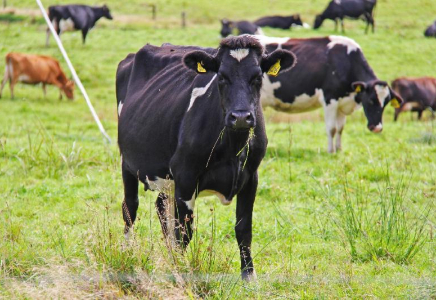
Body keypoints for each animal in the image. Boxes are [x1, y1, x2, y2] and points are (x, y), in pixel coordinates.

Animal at [116, 36, 296, 280]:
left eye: (258, 77)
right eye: (221, 77)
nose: (241, 117)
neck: (233, 148)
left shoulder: (251, 176)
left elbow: (244, 229)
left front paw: (248, 276)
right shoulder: (185, 174)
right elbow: (184, 231)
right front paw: (182, 272)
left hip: (166, 178)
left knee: (161, 208)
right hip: (128, 163)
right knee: (130, 208)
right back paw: (127, 253)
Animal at [255, 34, 402, 154]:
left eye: (386, 103)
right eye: (371, 100)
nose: (377, 128)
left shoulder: (342, 104)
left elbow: (340, 128)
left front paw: (339, 149)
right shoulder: (330, 99)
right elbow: (332, 128)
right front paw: (331, 151)